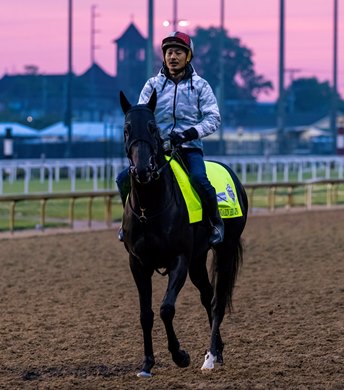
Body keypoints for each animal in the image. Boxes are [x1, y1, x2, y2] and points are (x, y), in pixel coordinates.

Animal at [118, 90, 247, 376]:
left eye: (153, 127)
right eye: (126, 128)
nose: (142, 170)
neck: (149, 208)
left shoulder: (179, 259)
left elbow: (166, 309)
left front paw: (180, 355)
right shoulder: (137, 263)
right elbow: (146, 314)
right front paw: (147, 363)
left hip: (224, 250)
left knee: (217, 301)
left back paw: (210, 357)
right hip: (198, 260)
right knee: (207, 295)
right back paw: (218, 351)